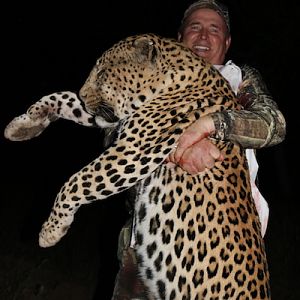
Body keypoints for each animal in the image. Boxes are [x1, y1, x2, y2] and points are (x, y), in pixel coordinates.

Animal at [3, 34, 270, 298]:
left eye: (103, 73)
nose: (84, 93)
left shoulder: (133, 150)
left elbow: (76, 182)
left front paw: (50, 232)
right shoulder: (115, 122)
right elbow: (64, 98)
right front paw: (24, 124)